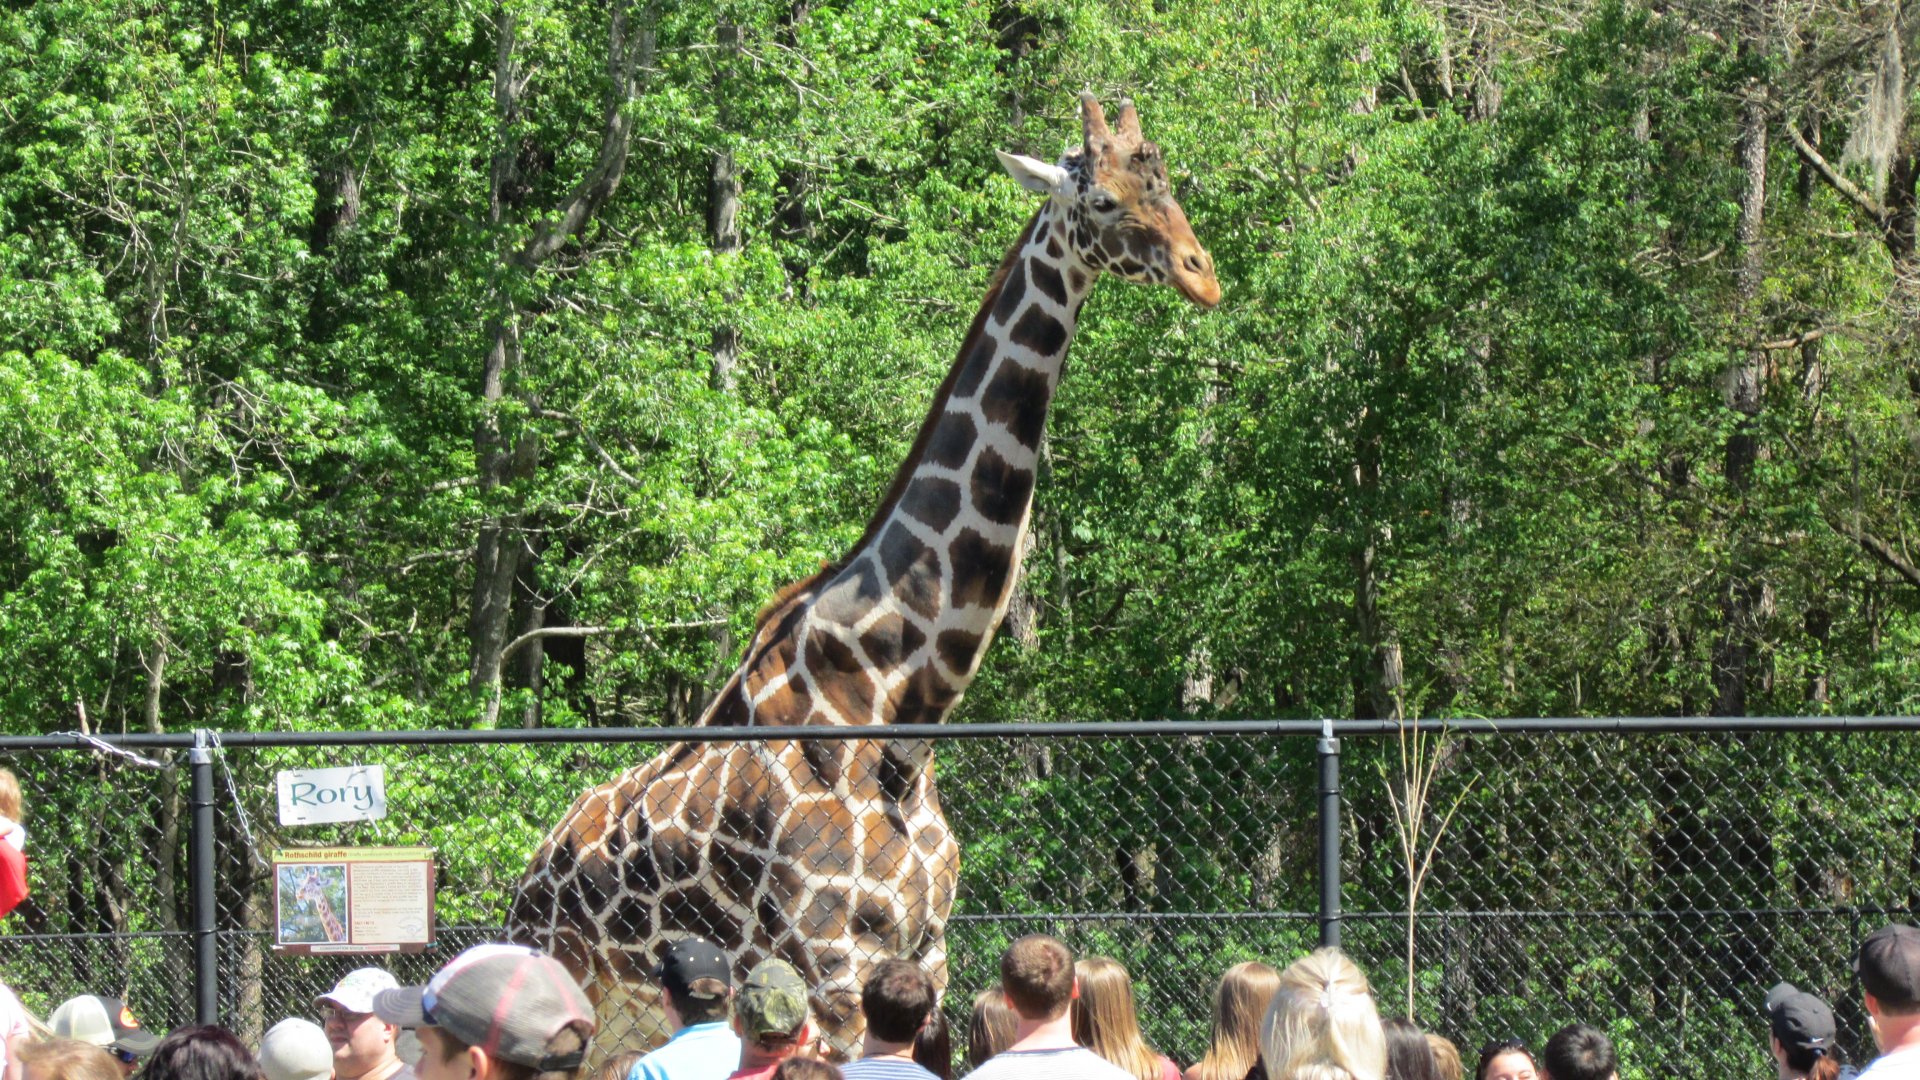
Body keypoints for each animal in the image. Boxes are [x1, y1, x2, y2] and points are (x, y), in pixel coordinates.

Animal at [505, 93, 1220, 1058]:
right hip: (580, 1005)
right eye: (1101, 199)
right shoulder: (833, 966)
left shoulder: (927, 953)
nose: (1202, 274)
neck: (902, 702)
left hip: (637, 1022)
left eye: (1167, 183)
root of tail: (527, 880)